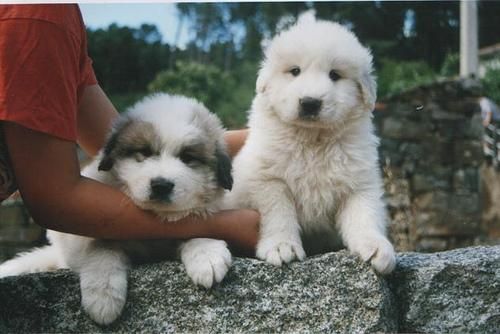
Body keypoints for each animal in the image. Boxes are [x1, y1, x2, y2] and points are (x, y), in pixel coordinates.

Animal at [0, 93, 234, 324]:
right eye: (144, 152)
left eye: (187, 158)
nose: (161, 185)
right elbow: (102, 246)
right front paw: (103, 295)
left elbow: (194, 225)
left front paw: (206, 255)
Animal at [225, 12, 396, 274]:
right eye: (295, 71)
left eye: (335, 75)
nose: (310, 102)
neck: (312, 141)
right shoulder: (267, 180)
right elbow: (278, 212)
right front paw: (281, 246)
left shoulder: (358, 182)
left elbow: (364, 213)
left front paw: (377, 246)